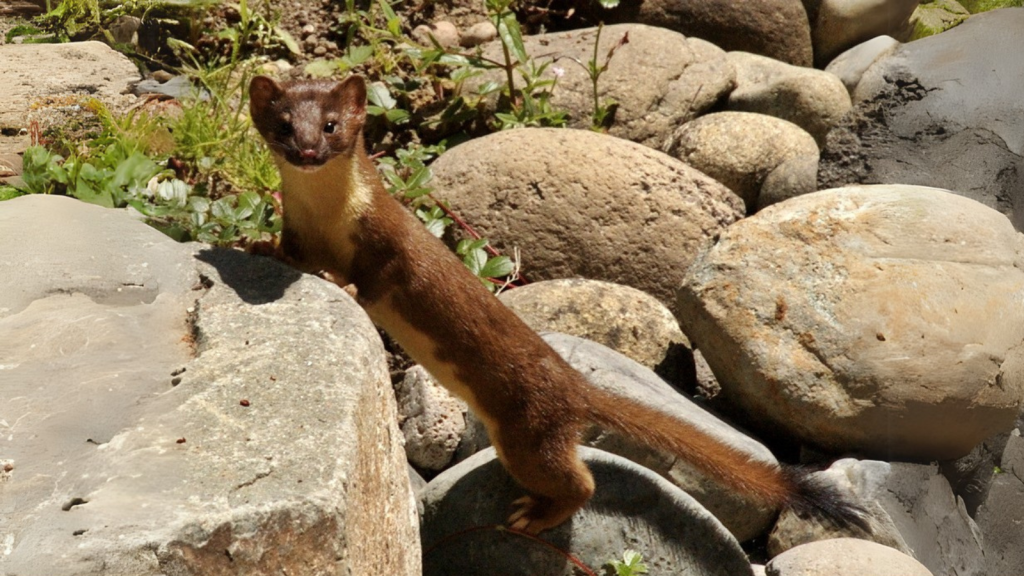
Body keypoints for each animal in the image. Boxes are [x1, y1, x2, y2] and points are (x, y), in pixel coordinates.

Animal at [247, 73, 864, 532]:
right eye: (283, 124)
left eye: (331, 125)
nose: (307, 149)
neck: (328, 221)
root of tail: (574, 387)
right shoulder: (297, 229)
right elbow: (287, 252)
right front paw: (257, 247)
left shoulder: (392, 244)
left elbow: (380, 279)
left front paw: (344, 283)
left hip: (528, 435)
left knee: (579, 481)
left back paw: (534, 515)